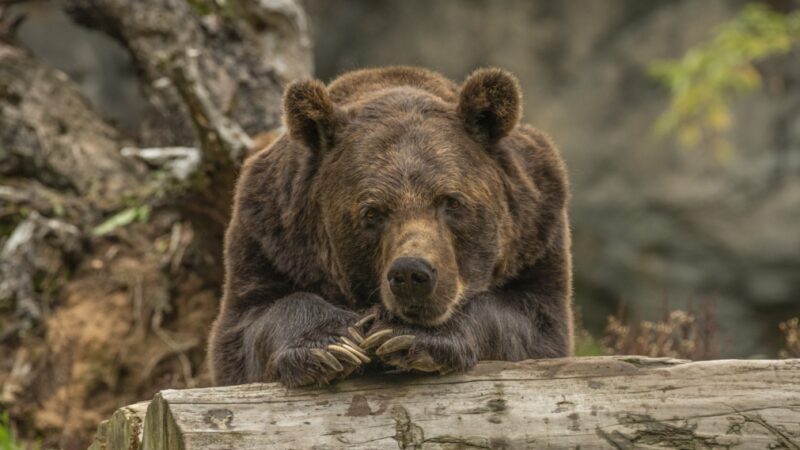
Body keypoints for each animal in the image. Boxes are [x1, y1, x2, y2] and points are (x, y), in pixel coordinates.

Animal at [209, 66, 572, 386]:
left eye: (451, 201)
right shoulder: (269, 238)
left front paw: (406, 335)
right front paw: (331, 345)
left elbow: (531, 322)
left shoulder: (537, 233)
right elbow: (249, 325)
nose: (412, 274)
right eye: (372, 212)